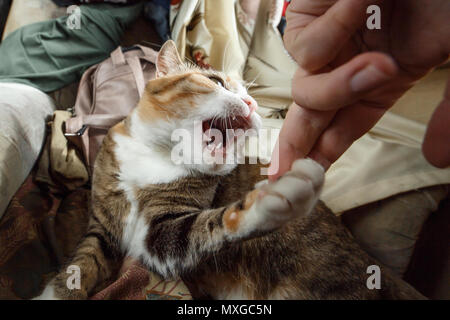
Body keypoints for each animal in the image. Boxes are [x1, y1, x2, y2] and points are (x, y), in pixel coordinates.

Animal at [36, 40, 426, 300]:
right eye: (216, 81)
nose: (252, 103)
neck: (154, 155)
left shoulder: (161, 236)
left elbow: (214, 222)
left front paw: (275, 198)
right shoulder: (104, 227)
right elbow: (82, 262)